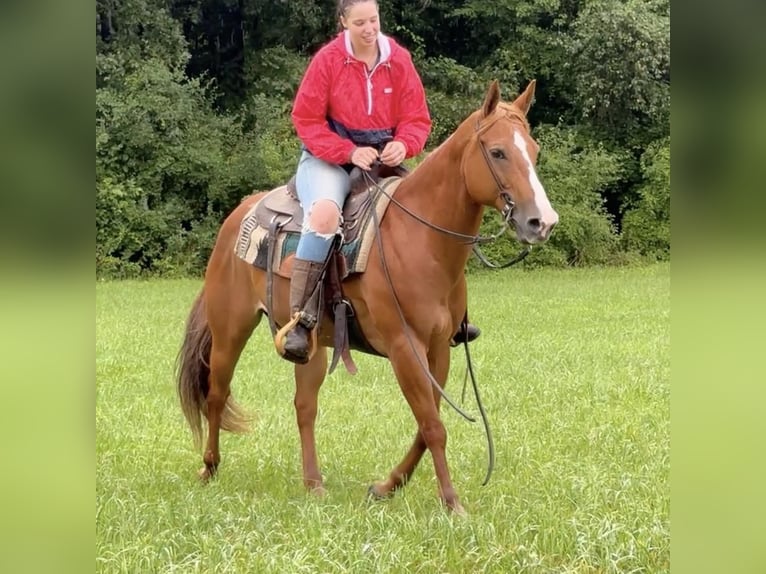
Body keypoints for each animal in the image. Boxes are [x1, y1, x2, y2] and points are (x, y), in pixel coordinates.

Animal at [177, 80, 560, 512]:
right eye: (497, 152)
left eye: (534, 151)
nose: (542, 222)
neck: (421, 241)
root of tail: (236, 217)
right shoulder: (404, 347)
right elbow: (433, 425)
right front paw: (451, 502)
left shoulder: (438, 348)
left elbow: (426, 424)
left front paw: (387, 485)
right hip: (231, 329)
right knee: (216, 393)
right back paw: (209, 467)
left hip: (311, 344)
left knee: (304, 406)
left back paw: (313, 482)